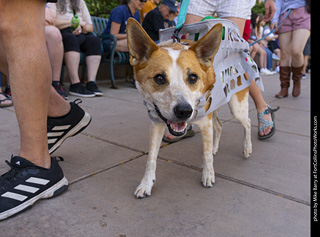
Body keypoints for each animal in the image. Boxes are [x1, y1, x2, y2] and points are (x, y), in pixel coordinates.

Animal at [126, 18, 251, 198]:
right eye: (159, 78)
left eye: (193, 77)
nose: (184, 111)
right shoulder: (156, 123)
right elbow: (151, 158)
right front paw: (146, 184)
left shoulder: (205, 123)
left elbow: (206, 155)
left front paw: (208, 175)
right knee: (219, 126)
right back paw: (215, 148)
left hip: (237, 106)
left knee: (247, 122)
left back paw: (247, 148)